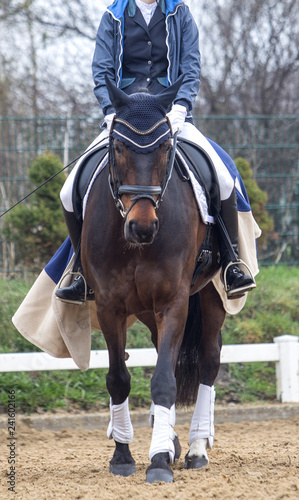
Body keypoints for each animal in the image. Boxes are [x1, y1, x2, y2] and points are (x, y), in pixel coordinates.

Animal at [81, 78, 226, 484]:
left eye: (165, 147)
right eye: (118, 147)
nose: (142, 227)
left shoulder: (173, 301)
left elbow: (164, 380)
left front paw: (159, 460)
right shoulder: (109, 305)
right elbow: (119, 378)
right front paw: (123, 456)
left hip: (211, 294)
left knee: (208, 361)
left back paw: (195, 449)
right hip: (146, 311)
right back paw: (174, 442)